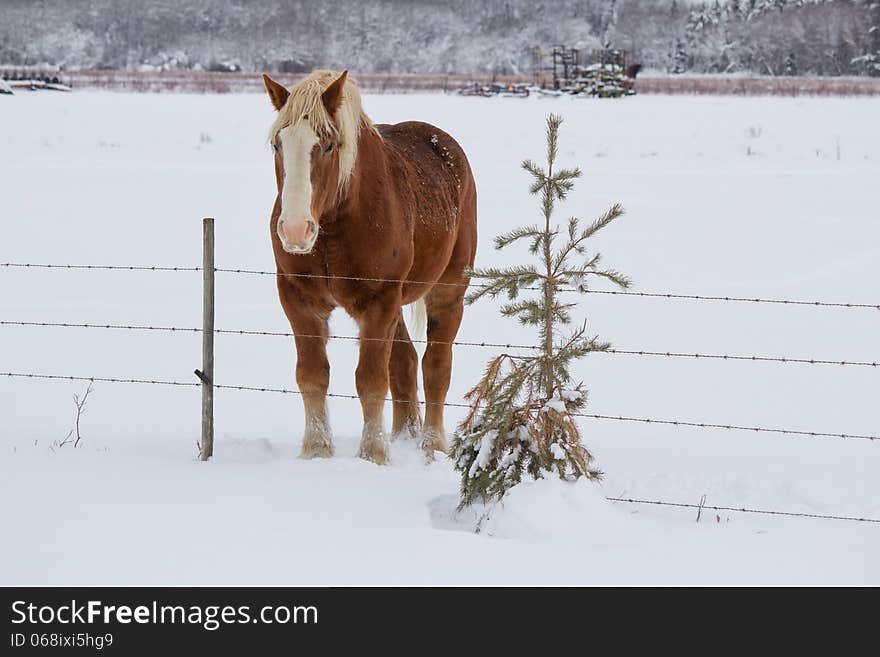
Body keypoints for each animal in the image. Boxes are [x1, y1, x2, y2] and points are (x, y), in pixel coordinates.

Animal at [262, 69, 478, 464]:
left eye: (328, 145)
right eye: (277, 145)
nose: (296, 229)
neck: (334, 227)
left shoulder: (379, 302)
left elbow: (371, 380)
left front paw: (373, 455)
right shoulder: (299, 300)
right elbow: (312, 376)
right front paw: (316, 451)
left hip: (448, 292)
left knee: (435, 366)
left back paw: (431, 446)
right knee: (405, 362)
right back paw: (405, 436)